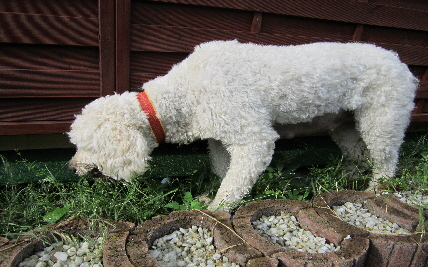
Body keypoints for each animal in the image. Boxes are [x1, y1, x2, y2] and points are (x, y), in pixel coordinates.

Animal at [67, 40, 418, 210]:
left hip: (382, 118)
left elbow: (234, 182)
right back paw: (346, 178)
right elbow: (224, 169)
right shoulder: (219, 137)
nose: (71, 167)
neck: (187, 89)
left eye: (87, 146)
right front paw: (212, 195)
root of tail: (401, 62)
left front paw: (217, 208)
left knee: (386, 160)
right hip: (343, 124)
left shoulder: (253, 139)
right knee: (358, 153)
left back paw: (375, 190)